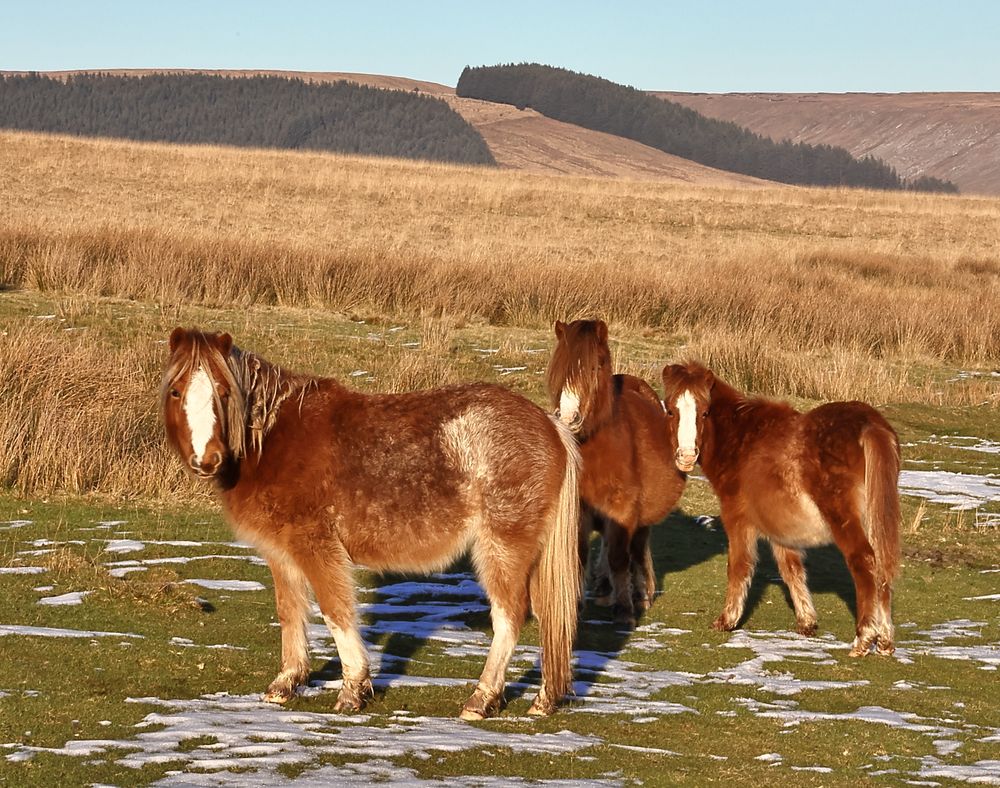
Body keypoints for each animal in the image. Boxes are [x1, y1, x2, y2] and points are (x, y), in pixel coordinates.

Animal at [161, 328, 581, 719]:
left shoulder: (316, 546)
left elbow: (335, 611)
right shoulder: (280, 553)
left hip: (502, 547)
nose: (207, 460)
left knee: (509, 615)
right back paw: (544, 699)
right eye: (177, 392)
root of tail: (549, 425)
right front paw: (286, 683)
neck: (271, 439)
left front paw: (353, 690)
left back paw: (481, 700)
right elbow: (289, 611)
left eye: (223, 392)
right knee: (546, 618)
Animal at [546, 319, 687, 626]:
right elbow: (581, 556)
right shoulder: (580, 510)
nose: (569, 419)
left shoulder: (623, 510)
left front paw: (624, 610)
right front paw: (577, 605)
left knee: (636, 549)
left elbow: (620, 558)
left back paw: (639, 594)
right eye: (560, 368)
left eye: (595, 367)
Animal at [661, 361, 901, 656]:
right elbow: (791, 569)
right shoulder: (780, 528)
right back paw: (885, 642)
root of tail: (870, 425)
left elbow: (739, 566)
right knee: (882, 566)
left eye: (705, 412)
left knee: (865, 561)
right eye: (670, 410)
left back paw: (863, 640)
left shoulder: (738, 519)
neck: (742, 441)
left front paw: (726, 621)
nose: (686, 457)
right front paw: (807, 622)